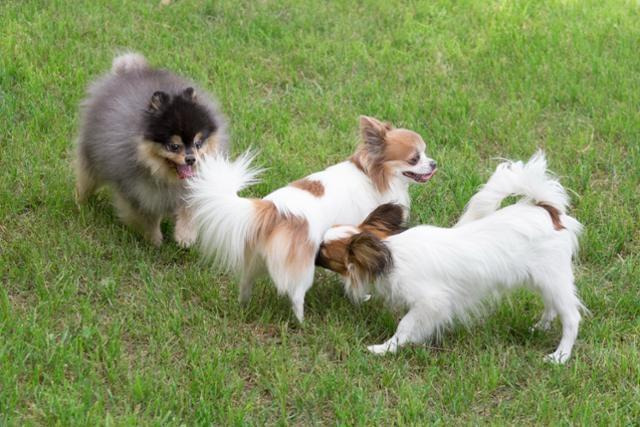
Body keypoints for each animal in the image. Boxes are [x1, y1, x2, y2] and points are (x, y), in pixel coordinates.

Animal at [185, 115, 436, 322]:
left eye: (425, 152)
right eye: (415, 158)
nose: (434, 163)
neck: (372, 176)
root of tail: (271, 209)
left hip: (255, 259)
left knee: (246, 283)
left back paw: (244, 307)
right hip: (303, 268)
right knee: (296, 296)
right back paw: (302, 322)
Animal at [316, 153, 584, 364]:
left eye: (323, 252)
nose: (312, 253)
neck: (391, 253)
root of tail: (548, 210)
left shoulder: (431, 302)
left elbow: (405, 326)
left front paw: (384, 348)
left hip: (553, 278)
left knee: (571, 318)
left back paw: (560, 356)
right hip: (541, 279)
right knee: (551, 306)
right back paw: (540, 327)